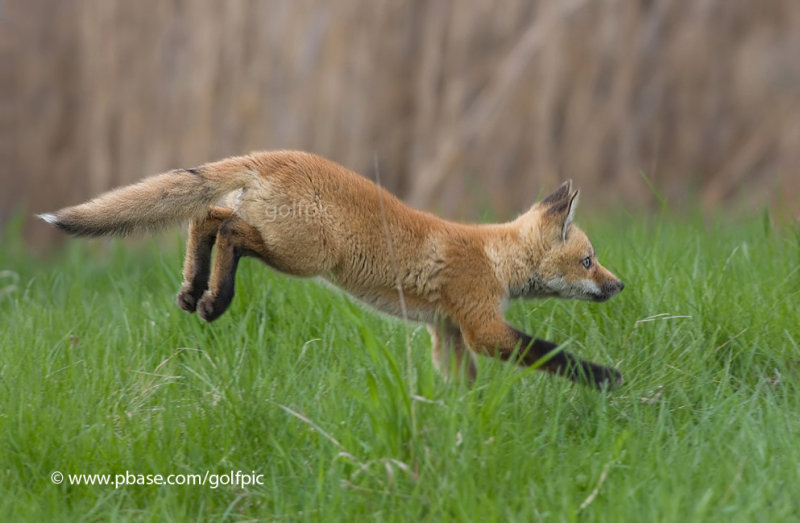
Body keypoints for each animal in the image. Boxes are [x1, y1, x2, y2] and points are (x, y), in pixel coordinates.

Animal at [39, 151, 624, 388]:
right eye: (588, 261)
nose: (619, 284)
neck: (493, 260)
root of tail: (273, 154)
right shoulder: (482, 326)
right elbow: (552, 354)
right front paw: (605, 379)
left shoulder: (447, 332)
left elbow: (463, 386)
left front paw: (462, 424)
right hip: (303, 255)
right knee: (229, 233)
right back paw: (216, 300)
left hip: (273, 233)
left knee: (207, 217)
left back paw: (192, 288)